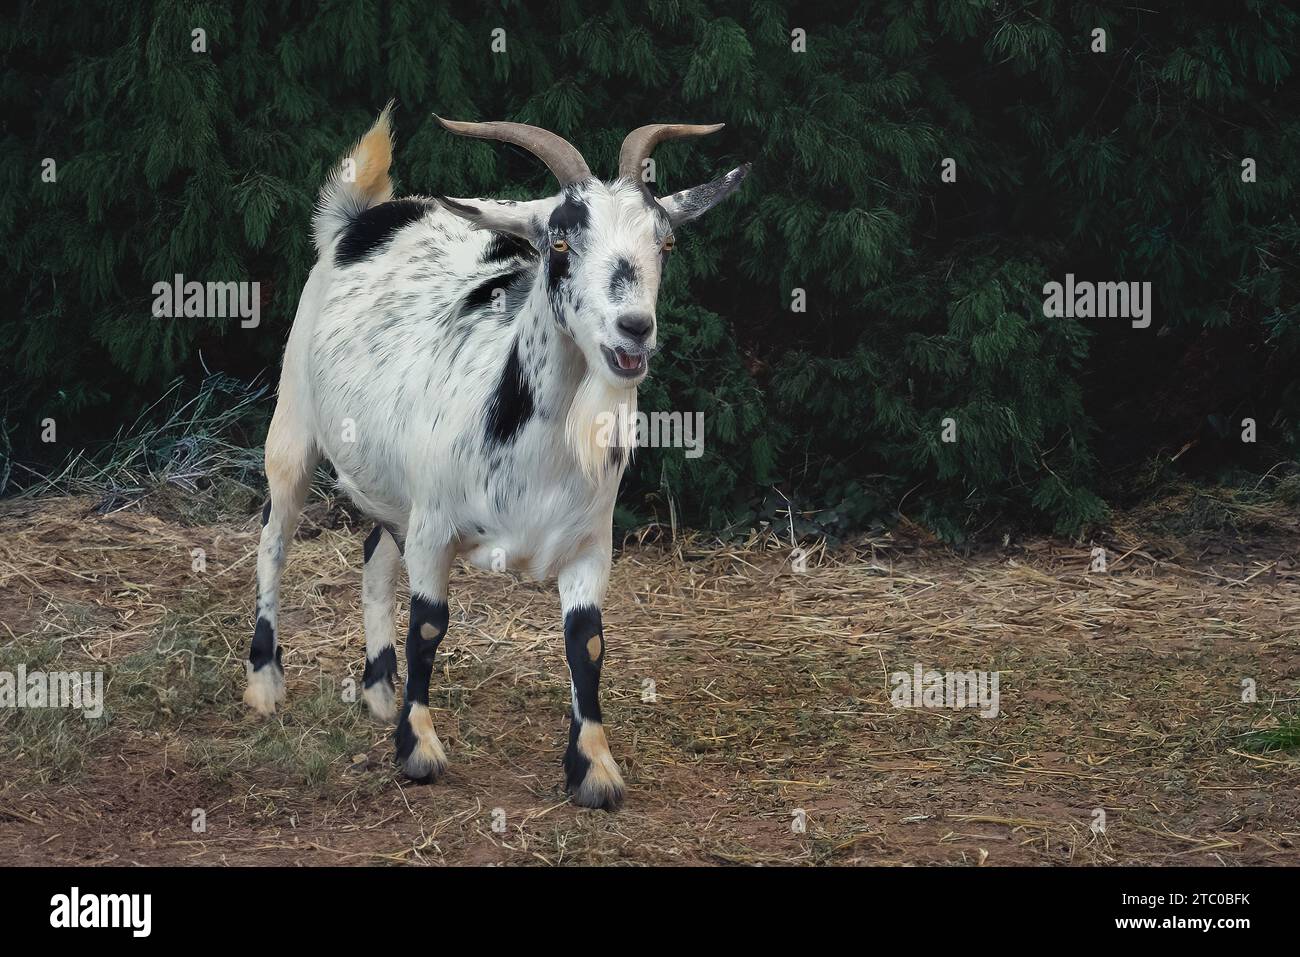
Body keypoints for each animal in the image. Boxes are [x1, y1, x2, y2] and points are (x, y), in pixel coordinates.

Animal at [244, 104, 754, 806]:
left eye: (666, 243)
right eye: (559, 243)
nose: (634, 329)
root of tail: (359, 218)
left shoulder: (590, 543)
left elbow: (587, 643)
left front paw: (594, 768)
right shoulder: (435, 525)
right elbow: (429, 624)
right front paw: (419, 749)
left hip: (396, 490)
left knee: (375, 552)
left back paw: (378, 691)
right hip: (293, 417)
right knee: (274, 538)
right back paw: (266, 682)